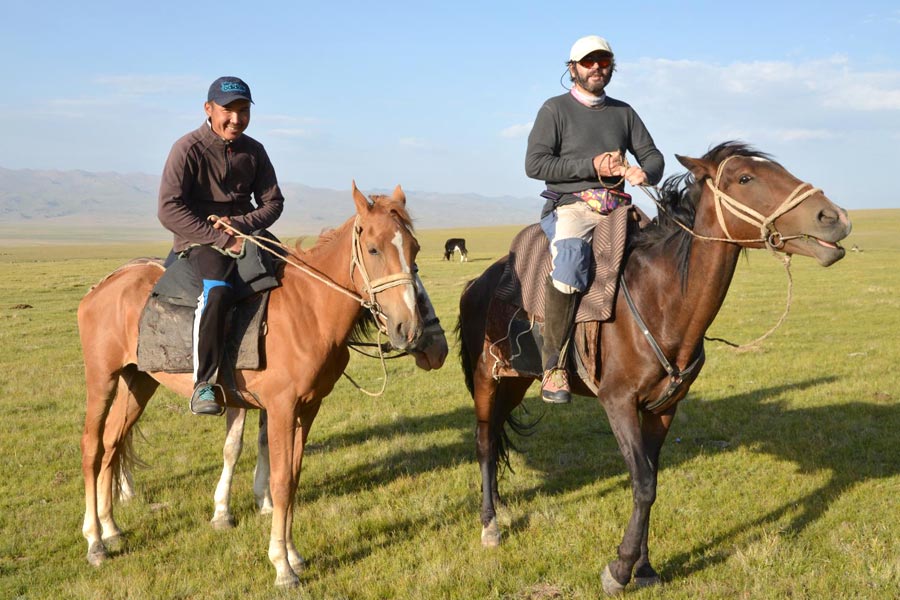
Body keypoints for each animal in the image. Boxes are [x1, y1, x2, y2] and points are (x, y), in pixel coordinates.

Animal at [79, 183, 424, 584]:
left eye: (414, 248)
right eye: (373, 249)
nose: (407, 327)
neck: (309, 309)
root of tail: (101, 287)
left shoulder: (308, 408)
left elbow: (292, 478)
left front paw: (293, 555)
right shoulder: (281, 408)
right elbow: (280, 481)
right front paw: (281, 566)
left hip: (138, 382)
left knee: (112, 443)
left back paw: (111, 529)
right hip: (101, 379)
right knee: (92, 447)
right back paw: (95, 542)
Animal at [458, 142, 852, 596]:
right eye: (745, 178)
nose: (834, 218)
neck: (662, 302)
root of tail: (476, 283)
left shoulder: (663, 407)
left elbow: (651, 480)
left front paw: (644, 567)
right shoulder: (618, 403)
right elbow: (643, 484)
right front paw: (619, 569)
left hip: (515, 381)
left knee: (495, 436)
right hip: (486, 379)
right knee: (484, 442)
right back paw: (490, 526)